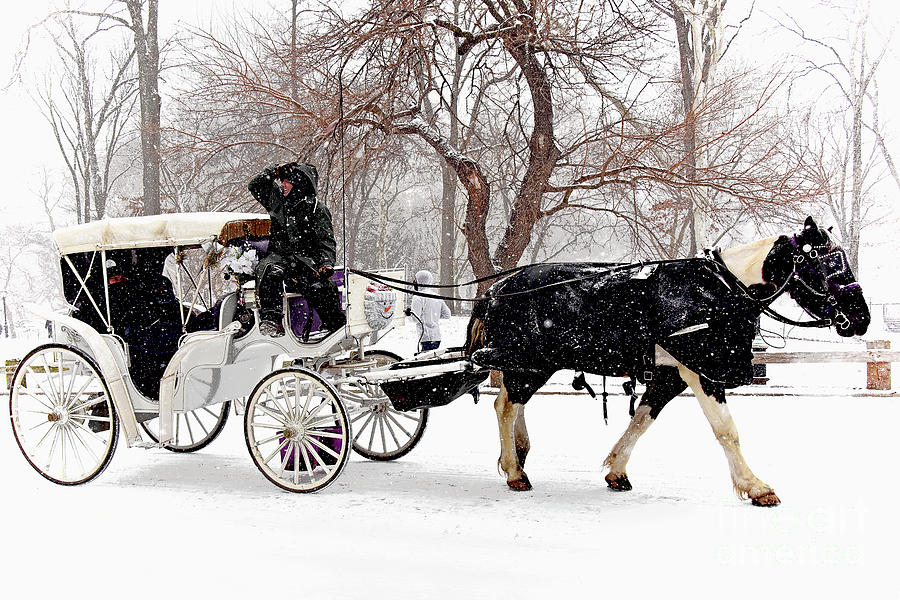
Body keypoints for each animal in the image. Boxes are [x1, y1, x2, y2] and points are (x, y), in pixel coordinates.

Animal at [468, 217, 868, 506]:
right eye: (825, 264)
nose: (861, 317)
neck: (721, 292)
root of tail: (497, 289)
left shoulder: (671, 374)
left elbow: (642, 421)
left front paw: (617, 470)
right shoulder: (701, 371)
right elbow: (727, 431)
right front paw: (755, 487)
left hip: (532, 363)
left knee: (511, 403)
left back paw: (520, 452)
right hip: (530, 361)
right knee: (506, 405)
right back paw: (514, 471)